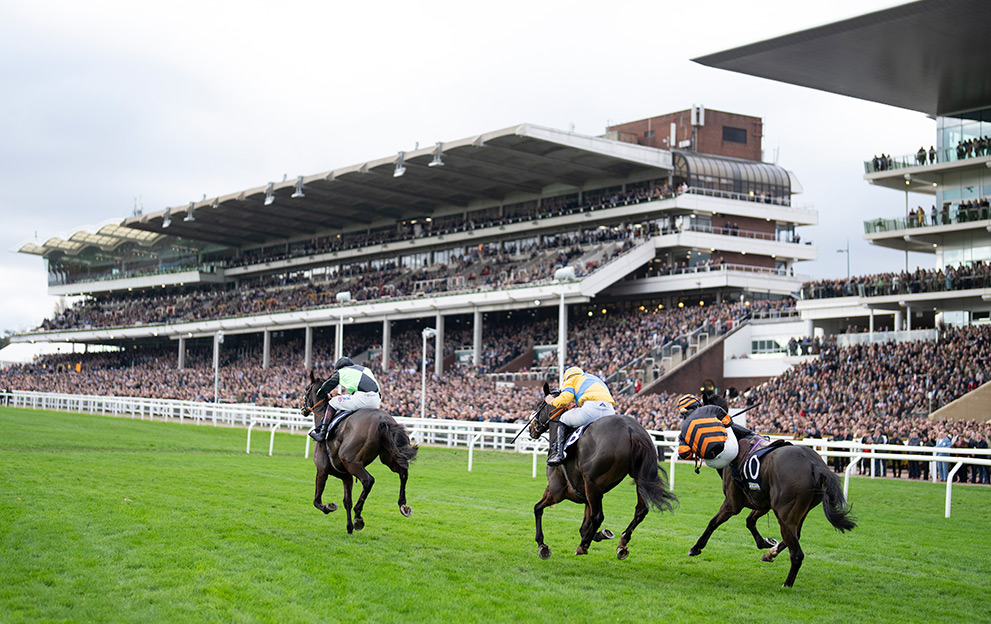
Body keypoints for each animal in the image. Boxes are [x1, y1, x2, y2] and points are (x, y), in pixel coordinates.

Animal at [298, 370, 414, 536]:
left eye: (307, 388)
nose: (302, 407)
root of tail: (383, 419)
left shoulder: (322, 469)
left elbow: (317, 501)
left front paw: (330, 507)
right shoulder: (347, 476)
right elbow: (347, 501)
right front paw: (349, 528)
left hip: (352, 462)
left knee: (368, 480)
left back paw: (358, 516)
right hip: (389, 457)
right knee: (403, 472)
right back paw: (403, 505)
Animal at [524, 382, 680, 560]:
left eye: (539, 405)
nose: (532, 427)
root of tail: (631, 430)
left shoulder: (556, 490)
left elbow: (537, 508)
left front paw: (542, 545)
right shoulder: (587, 497)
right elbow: (584, 527)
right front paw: (602, 534)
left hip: (592, 482)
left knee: (598, 516)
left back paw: (583, 546)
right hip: (638, 478)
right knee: (641, 510)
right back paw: (622, 543)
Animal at [684, 400, 856, 584]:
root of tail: (814, 465)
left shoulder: (732, 502)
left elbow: (713, 522)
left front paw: (695, 548)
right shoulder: (763, 502)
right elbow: (749, 521)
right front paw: (766, 543)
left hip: (785, 514)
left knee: (797, 554)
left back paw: (787, 584)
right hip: (798, 511)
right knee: (795, 536)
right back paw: (770, 554)